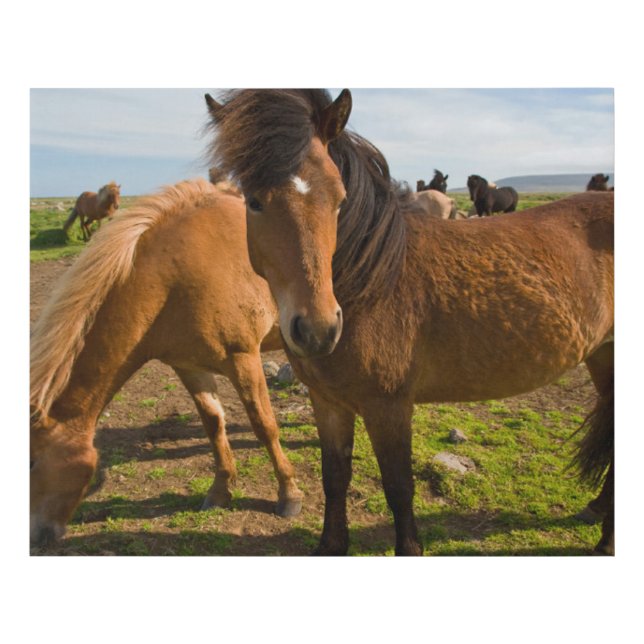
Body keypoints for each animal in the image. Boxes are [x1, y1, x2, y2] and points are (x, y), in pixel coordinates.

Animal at [30, 179, 303, 548]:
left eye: (31, 462)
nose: (34, 537)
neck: (173, 278)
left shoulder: (243, 358)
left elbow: (265, 425)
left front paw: (289, 494)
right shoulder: (189, 366)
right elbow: (213, 425)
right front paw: (220, 491)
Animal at [205, 89, 614, 556]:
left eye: (339, 199)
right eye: (254, 201)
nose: (318, 330)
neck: (372, 282)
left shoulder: (390, 407)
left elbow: (399, 490)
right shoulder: (328, 403)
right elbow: (334, 479)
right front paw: (331, 545)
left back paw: (606, 542)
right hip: (603, 357)